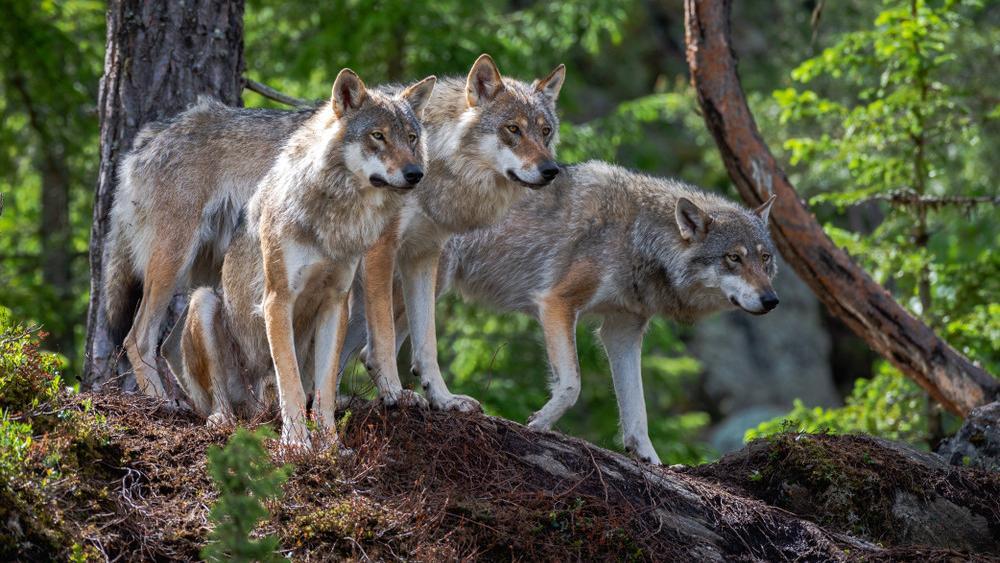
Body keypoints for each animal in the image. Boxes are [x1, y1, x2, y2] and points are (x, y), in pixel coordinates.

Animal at [162, 71, 436, 450]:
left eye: (411, 138)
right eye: (377, 136)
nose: (415, 173)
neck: (336, 217)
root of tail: (253, 405)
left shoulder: (336, 303)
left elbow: (325, 391)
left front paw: (331, 445)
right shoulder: (278, 301)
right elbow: (289, 380)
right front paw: (295, 444)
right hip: (204, 302)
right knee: (220, 399)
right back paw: (222, 419)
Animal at [342, 54, 568, 414]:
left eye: (545, 131)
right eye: (513, 129)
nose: (551, 170)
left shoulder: (424, 254)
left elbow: (427, 344)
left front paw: (443, 399)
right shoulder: (381, 250)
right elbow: (384, 338)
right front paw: (393, 393)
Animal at [386, 161, 776, 464]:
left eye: (765, 258)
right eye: (734, 258)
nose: (771, 300)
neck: (636, 237)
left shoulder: (623, 331)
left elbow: (637, 412)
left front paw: (652, 461)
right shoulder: (557, 302)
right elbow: (572, 384)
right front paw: (539, 423)